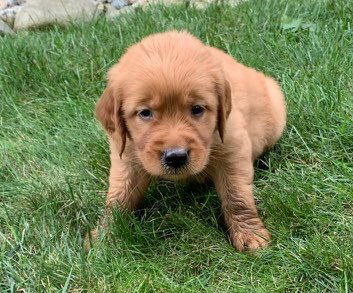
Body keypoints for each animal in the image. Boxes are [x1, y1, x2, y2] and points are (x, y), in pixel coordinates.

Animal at [90, 31, 286, 251]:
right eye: (145, 113)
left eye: (197, 109)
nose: (176, 157)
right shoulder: (126, 153)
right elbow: (119, 197)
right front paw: (105, 236)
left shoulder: (233, 147)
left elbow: (236, 196)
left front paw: (250, 234)